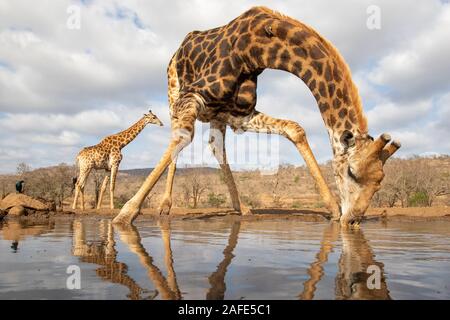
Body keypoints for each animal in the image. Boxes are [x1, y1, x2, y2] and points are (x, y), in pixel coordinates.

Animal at [112, 5, 400, 225]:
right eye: (351, 171)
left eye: (380, 182)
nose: (353, 219)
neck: (256, 50)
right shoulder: (193, 94)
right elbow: (182, 138)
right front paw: (125, 214)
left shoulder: (240, 114)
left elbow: (294, 128)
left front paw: (332, 208)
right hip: (174, 92)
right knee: (181, 137)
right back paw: (164, 206)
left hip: (217, 115)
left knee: (216, 147)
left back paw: (242, 208)